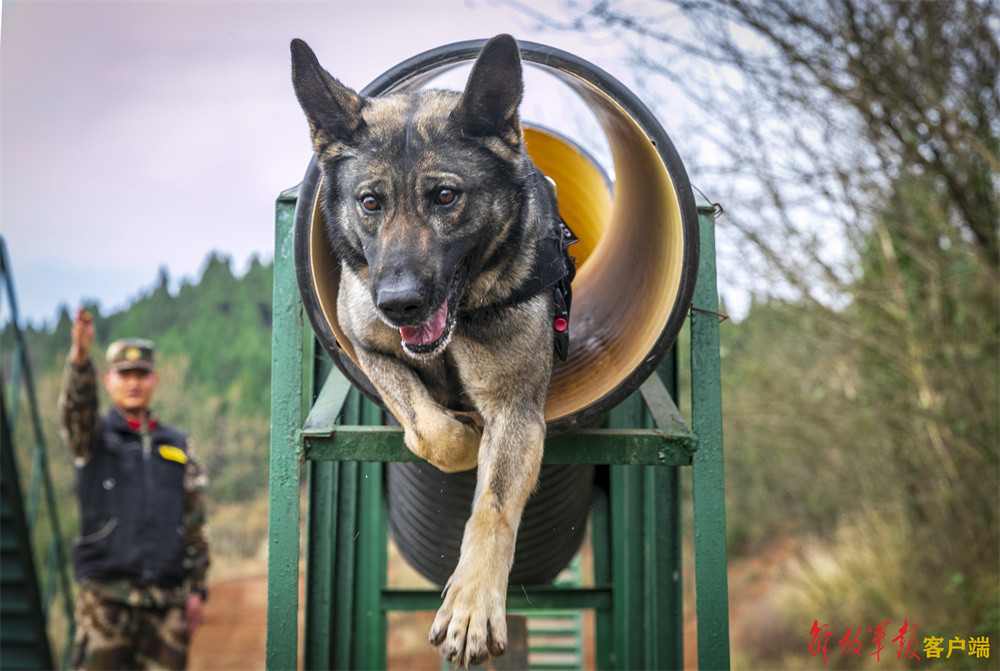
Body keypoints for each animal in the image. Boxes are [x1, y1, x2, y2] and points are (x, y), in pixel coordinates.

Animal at [290, 34, 576, 664]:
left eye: (446, 196)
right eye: (370, 203)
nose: (398, 304)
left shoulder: (517, 411)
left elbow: (493, 507)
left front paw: (471, 606)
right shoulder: (364, 345)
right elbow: (429, 430)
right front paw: (462, 439)